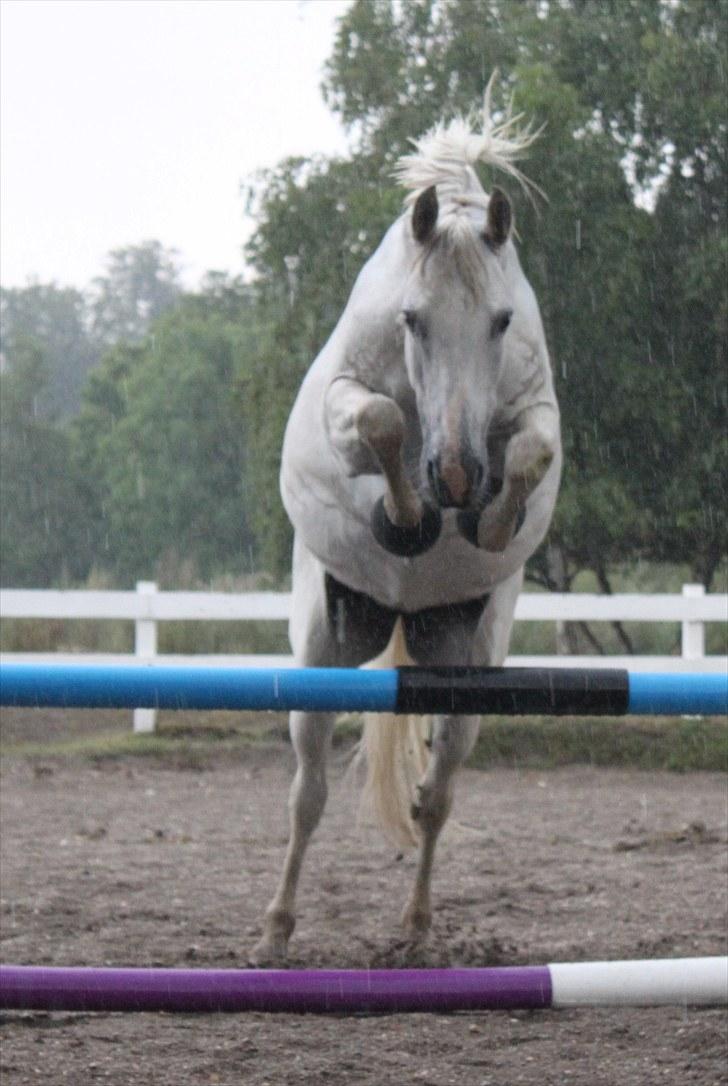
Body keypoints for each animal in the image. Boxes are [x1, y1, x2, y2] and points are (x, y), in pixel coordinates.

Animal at [254, 80, 560, 964]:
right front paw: (406, 518)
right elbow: (383, 421)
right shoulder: (350, 397)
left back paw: (419, 926)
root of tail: (400, 618)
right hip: (323, 651)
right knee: (309, 793)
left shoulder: (533, 413)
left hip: (469, 669)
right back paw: (277, 927)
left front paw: (488, 521)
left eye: (501, 321)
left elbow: (531, 453)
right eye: (413, 319)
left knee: (436, 794)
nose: (456, 474)